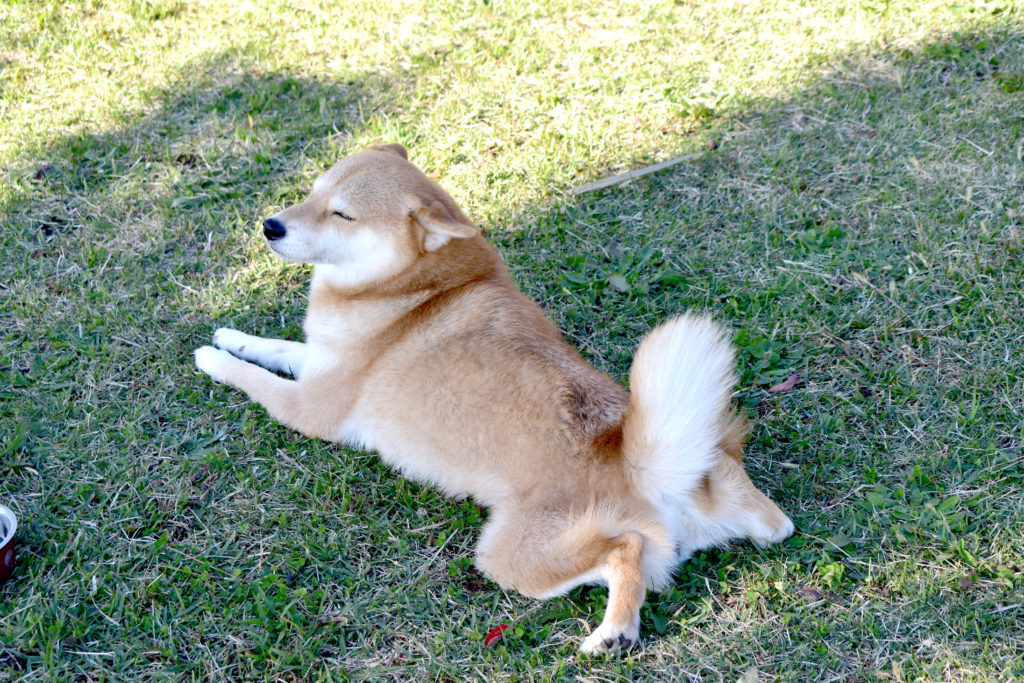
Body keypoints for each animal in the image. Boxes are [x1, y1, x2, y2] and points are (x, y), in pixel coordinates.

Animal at [195, 144, 794, 655]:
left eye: (342, 215)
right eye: (312, 193)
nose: (270, 225)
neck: (417, 288)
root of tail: (639, 463)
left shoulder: (312, 407)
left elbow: (255, 380)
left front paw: (213, 359)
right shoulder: (320, 365)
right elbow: (276, 347)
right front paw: (232, 337)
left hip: (513, 557)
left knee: (624, 550)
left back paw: (614, 632)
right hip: (726, 493)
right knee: (771, 523)